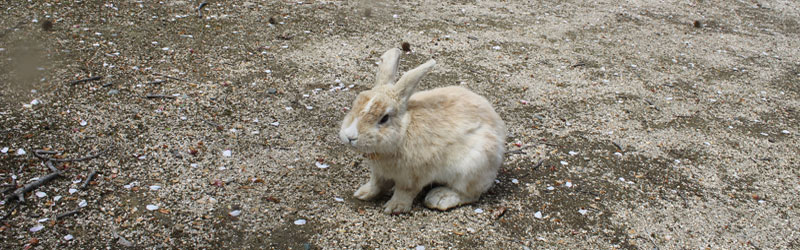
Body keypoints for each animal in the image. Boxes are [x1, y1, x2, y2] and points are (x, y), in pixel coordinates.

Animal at [340, 47, 506, 214]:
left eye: (384, 118)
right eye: (355, 104)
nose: (350, 136)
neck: (404, 130)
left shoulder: (412, 177)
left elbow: (404, 192)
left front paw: (394, 208)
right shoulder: (379, 173)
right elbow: (376, 184)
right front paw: (362, 193)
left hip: (472, 167)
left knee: (470, 194)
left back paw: (439, 198)